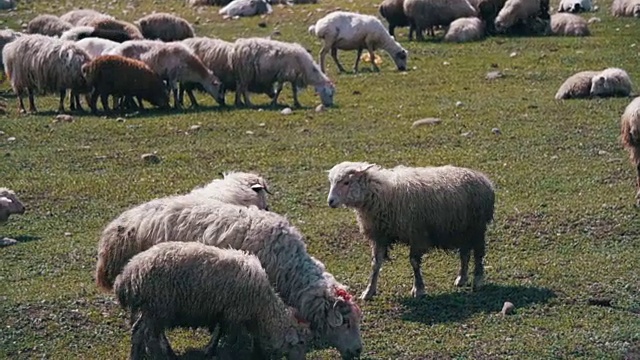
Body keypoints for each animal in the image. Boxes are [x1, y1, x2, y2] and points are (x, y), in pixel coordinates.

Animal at [114, 242, 312, 360]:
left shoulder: (223, 312)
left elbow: (219, 332)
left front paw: (211, 350)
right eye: (301, 343)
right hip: (158, 306)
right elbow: (230, 338)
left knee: (142, 331)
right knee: (144, 333)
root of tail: (129, 273)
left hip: (153, 309)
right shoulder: (234, 314)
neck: (261, 307)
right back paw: (150, 355)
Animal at [324, 162, 496, 300]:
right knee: (465, 253)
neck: (381, 194)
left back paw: (478, 280)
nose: (330, 201)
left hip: (477, 227)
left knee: (478, 253)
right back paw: (461, 278)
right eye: (331, 182)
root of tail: (483, 179)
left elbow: (414, 262)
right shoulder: (379, 236)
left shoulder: (417, 234)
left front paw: (418, 289)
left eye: (346, 182)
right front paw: (369, 291)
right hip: (462, 229)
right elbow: (375, 264)